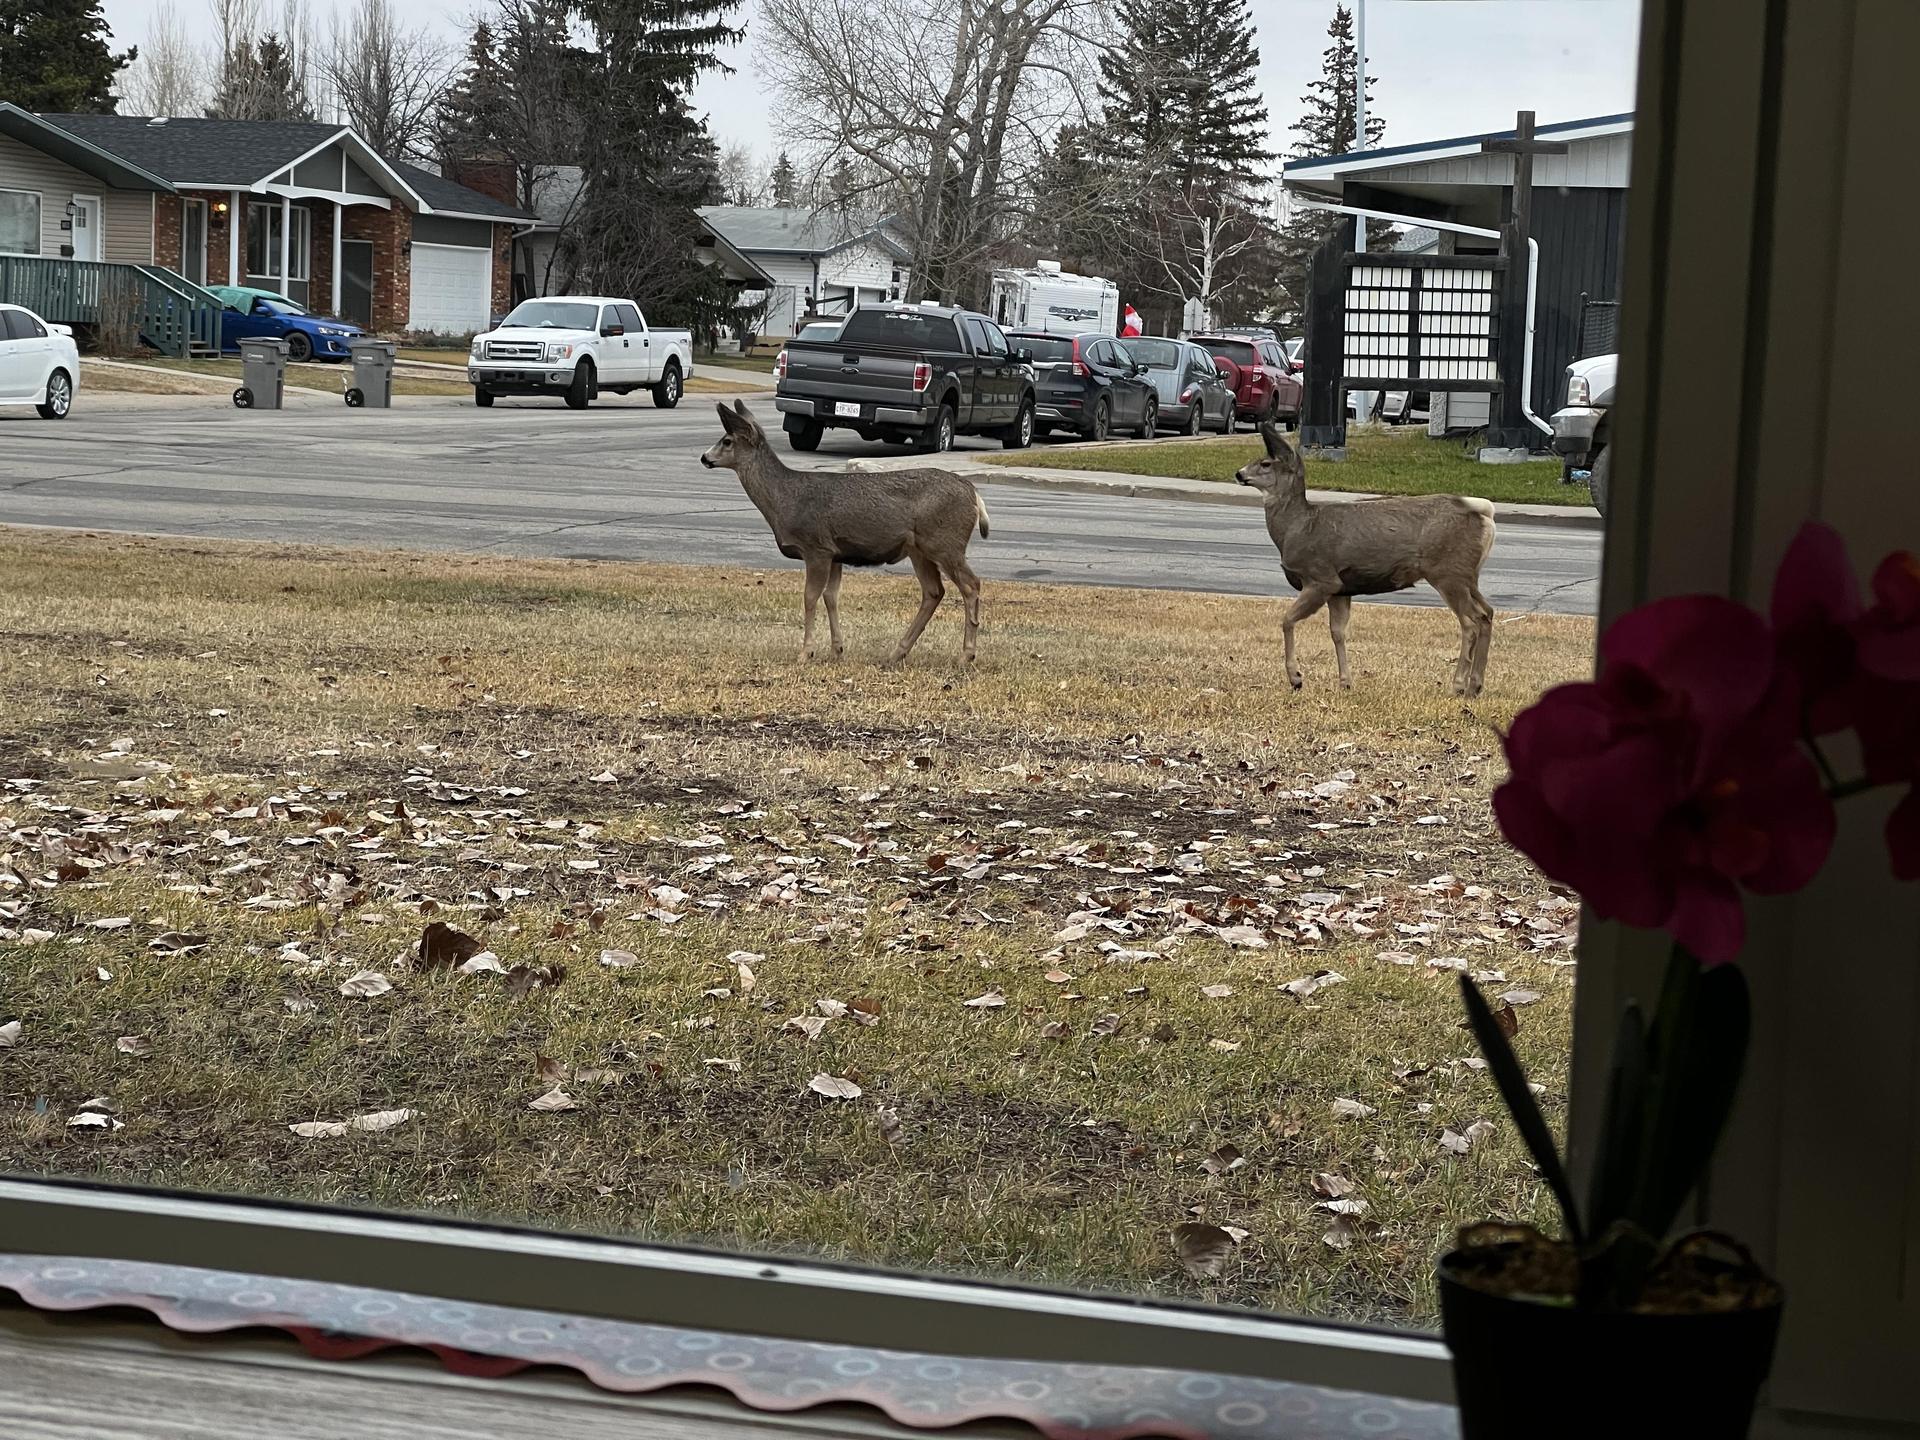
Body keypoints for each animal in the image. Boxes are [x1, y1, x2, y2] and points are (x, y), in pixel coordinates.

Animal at [700, 400, 991, 664]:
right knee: (933, 591)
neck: (786, 499)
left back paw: (966, 655)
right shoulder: (836, 552)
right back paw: (897, 653)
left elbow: (809, 597)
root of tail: (974, 495)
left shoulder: (816, 547)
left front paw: (806, 653)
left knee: (971, 585)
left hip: (945, 542)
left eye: (727, 441)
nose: (704, 457)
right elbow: (831, 597)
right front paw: (837, 650)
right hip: (919, 549)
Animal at [1236, 423, 1498, 696]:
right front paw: (1345, 682)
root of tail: (1485, 515)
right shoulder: (1341, 589)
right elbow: (1337, 632)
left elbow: (1287, 620)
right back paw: (1475, 685)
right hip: (1467, 575)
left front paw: (1296, 678)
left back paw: (1459, 685)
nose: (1239, 474)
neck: (1297, 527)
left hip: (1447, 572)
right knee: (1487, 612)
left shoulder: (1321, 577)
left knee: (1471, 621)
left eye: (1265, 463)